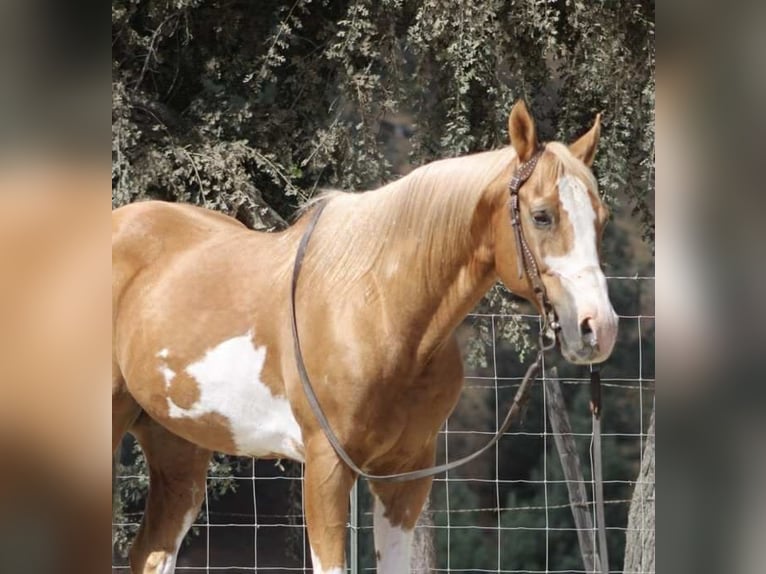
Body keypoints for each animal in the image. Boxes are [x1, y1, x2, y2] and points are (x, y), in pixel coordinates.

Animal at [112, 100, 618, 574]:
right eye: (542, 216)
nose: (600, 327)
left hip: (177, 444)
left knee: (152, 552)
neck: (378, 309)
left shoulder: (406, 474)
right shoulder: (326, 469)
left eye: (603, 218)